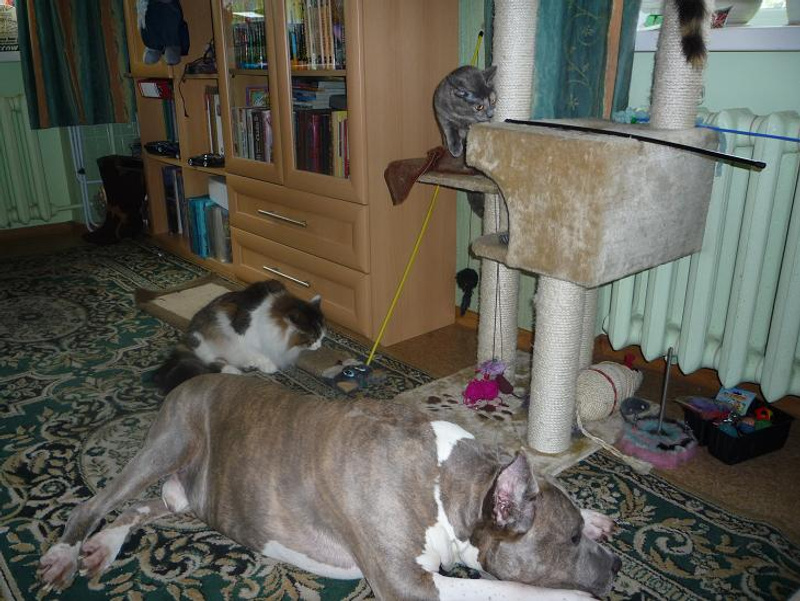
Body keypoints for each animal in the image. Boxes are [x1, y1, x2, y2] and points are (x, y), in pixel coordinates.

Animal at [40, 374, 621, 599]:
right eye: (568, 541)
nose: (617, 566)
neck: (451, 485)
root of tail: (188, 379)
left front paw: (598, 517)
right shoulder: (409, 583)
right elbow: (507, 589)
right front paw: (574, 596)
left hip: (191, 496)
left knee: (138, 509)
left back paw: (104, 546)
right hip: (166, 445)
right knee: (95, 502)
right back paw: (67, 552)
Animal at [153, 279, 325, 394]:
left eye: (322, 336)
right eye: (312, 338)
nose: (319, 346)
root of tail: (186, 337)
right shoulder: (243, 335)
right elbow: (259, 353)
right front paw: (269, 366)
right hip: (201, 339)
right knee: (211, 361)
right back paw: (233, 371)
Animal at [433, 64, 497, 219]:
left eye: (493, 101)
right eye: (479, 106)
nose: (490, 115)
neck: (463, 115)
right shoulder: (441, 112)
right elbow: (449, 129)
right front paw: (456, 148)